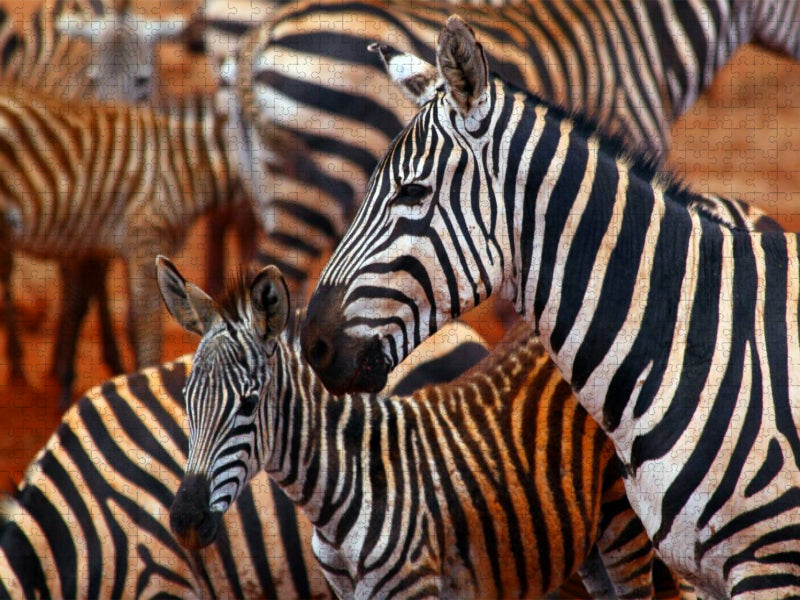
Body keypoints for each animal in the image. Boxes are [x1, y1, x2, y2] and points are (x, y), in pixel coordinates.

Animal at [156, 256, 675, 600]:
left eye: (247, 404)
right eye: (188, 401)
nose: (183, 520)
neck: (342, 489)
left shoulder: (416, 587)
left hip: (625, 527)